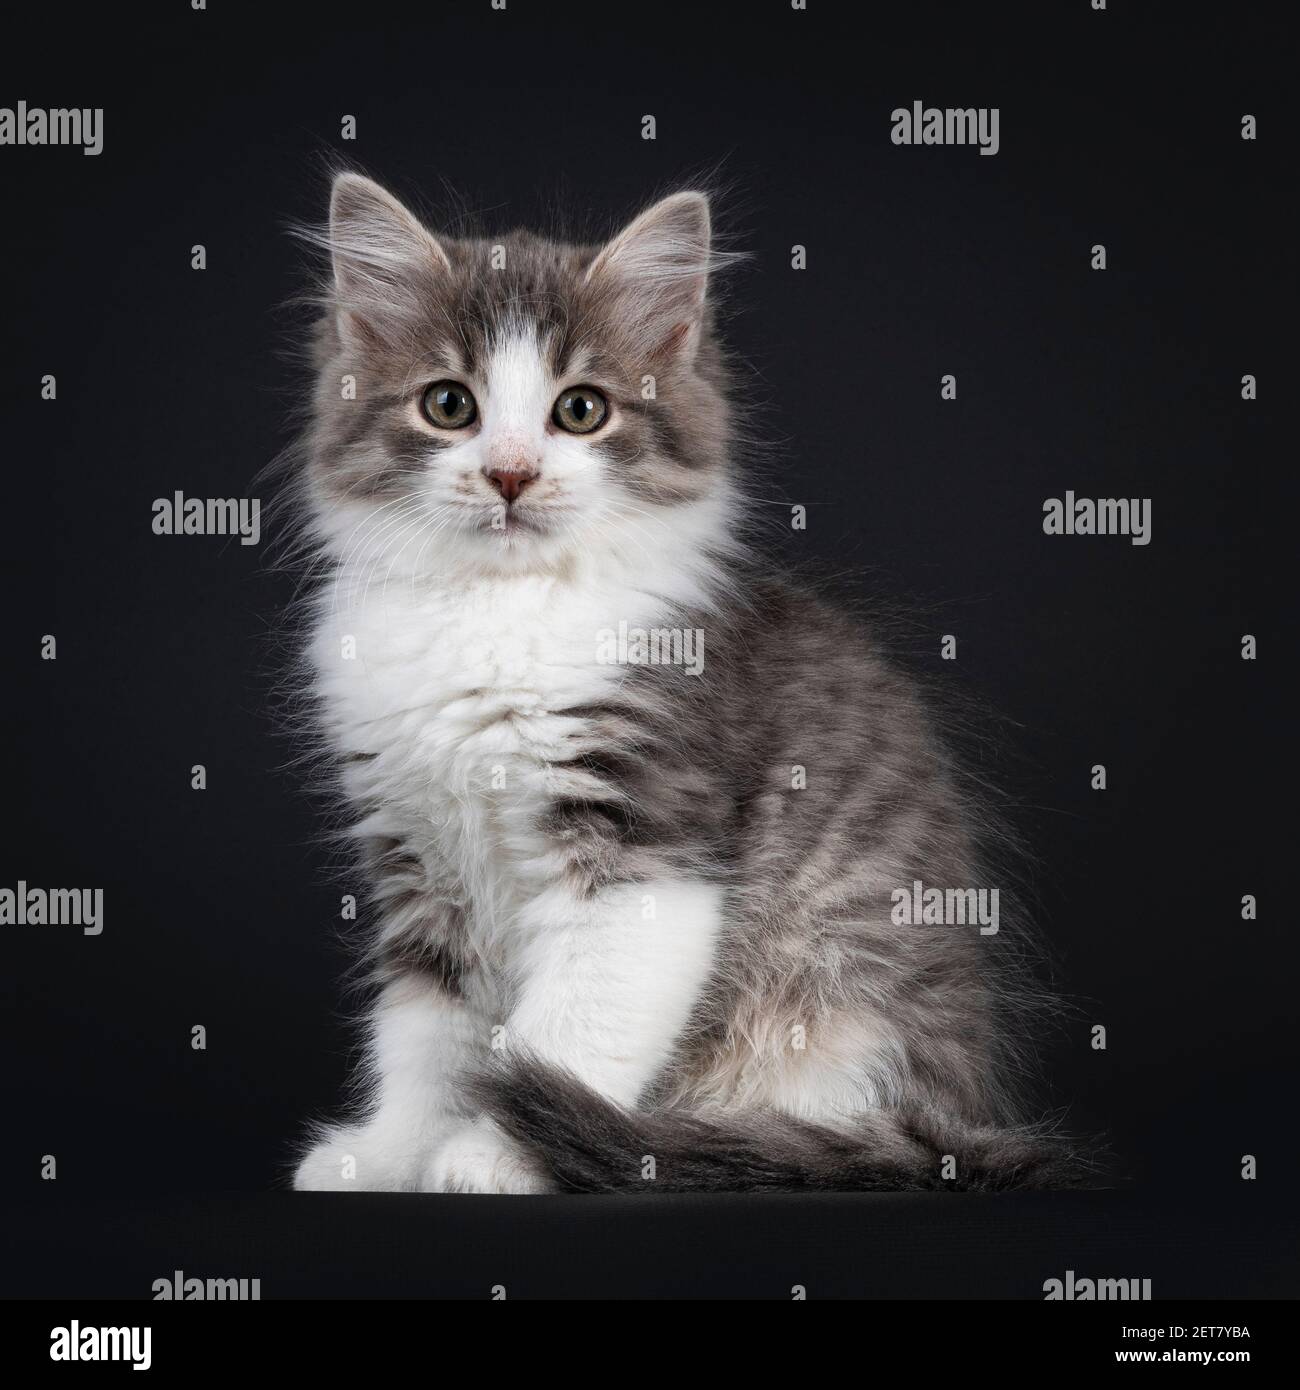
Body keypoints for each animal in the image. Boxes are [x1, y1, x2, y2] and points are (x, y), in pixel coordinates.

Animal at [289, 170, 1084, 1195]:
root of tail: (958, 1115)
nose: (510, 474)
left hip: (841, 1008)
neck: (498, 612)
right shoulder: (418, 856)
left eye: (581, 410)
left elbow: (570, 1031)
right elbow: (424, 1033)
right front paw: (391, 1152)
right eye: (449, 405)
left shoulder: (644, 841)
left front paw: (494, 1157)